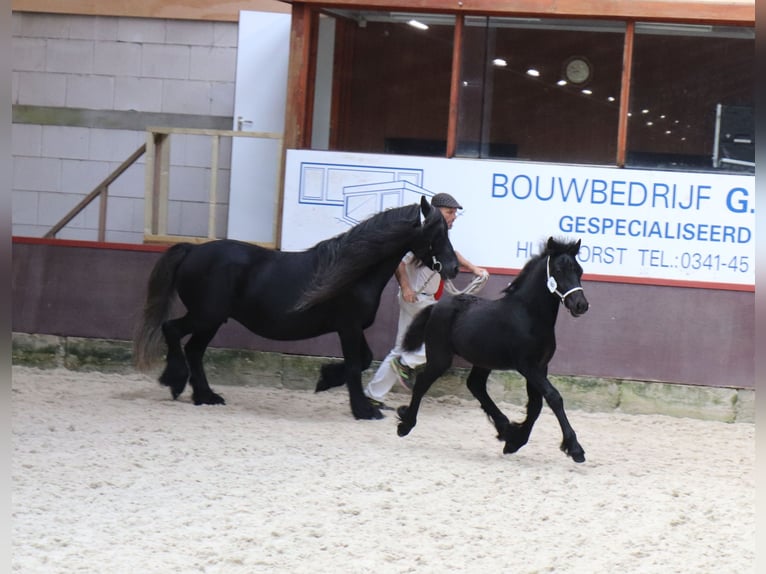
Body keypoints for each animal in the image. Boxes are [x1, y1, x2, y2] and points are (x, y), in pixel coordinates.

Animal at [133, 196, 459, 420]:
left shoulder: (353, 328)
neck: (355, 273)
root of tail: (193, 250)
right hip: (205, 316)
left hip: (211, 321)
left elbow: (364, 359)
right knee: (172, 330)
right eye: (436, 234)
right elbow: (357, 364)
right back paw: (175, 382)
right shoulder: (348, 327)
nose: (454, 268)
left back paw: (206, 396)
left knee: (194, 350)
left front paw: (326, 380)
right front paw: (364, 410)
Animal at [396, 237, 589, 462]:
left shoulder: (541, 367)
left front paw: (515, 442)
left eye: (579, 270)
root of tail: (436, 306)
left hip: (482, 360)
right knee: (422, 383)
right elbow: (553, 397)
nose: (580, 305)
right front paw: (575, 448)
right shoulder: (527, 366)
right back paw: (405, 424)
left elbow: (536, 405)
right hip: (440, 357)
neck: (530, 315)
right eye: (558, 270)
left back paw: (505, 429)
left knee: (475, 385)